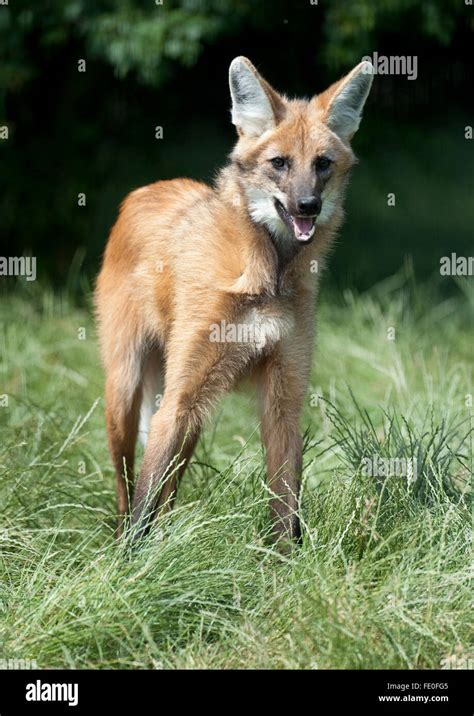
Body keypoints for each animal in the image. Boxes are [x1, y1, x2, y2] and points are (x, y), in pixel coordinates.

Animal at [95, 56, 374, 548]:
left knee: (168, 491)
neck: (268, 276)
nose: (308, 205)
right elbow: (144, 497)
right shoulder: (180, 396)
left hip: (193, 415)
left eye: (322, 164)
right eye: (279, 163)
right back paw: (124, 539)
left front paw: (287, 563)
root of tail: (143, 191)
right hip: (130, 392)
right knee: (129, 490)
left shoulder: (284, 401)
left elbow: (285, 507)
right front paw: (129, 562)